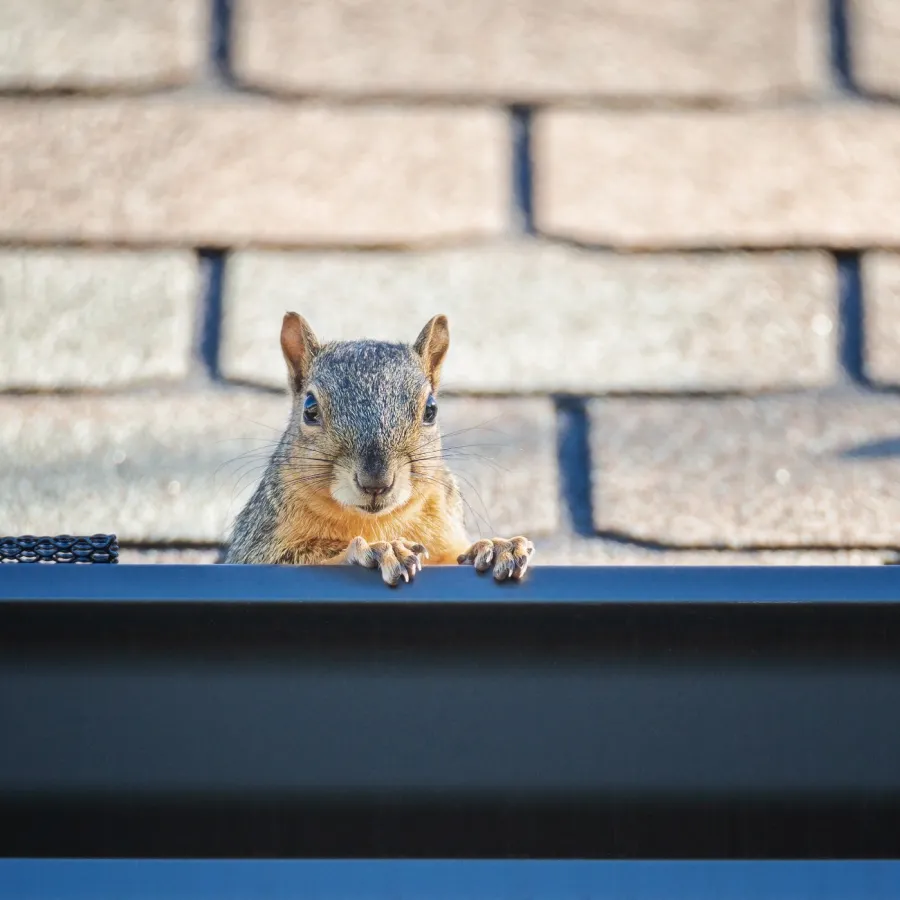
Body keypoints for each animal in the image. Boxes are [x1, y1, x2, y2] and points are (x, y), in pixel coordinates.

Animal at [225, 312, 536, 588]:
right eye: (310, 409)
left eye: (431, 409)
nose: (376, 482)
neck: (376, 520)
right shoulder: (257, 547)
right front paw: (377, 550)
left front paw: (495, 547)